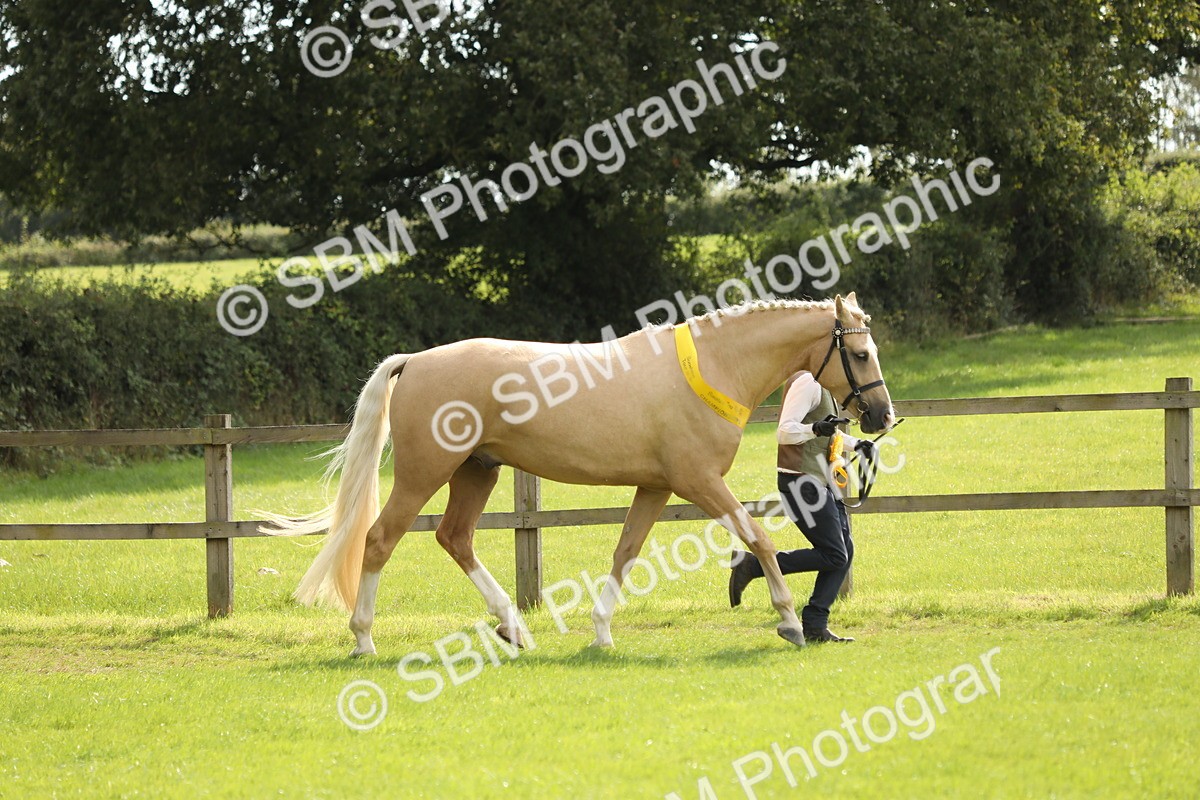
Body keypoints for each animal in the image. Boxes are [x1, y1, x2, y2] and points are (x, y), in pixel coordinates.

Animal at [262, 292, 894, 655]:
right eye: (861, 354)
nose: (883, 416)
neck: (712, 367)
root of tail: (415, 361)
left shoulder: (655, 486)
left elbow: (625, 552)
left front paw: (601, 632)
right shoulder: (699, 483)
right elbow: (759, 538)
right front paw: (789, 622)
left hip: (477, 472)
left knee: (455, 538)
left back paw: (514, 629)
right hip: (424, 475)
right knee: (378, 540)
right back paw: (364, 639)